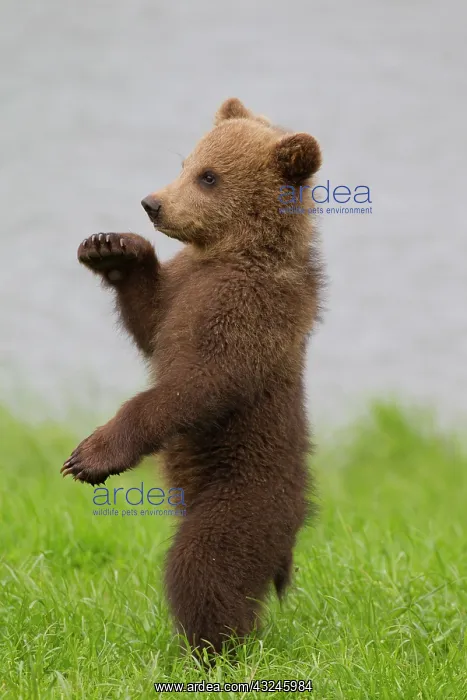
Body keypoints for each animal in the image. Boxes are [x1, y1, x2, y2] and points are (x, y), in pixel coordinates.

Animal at [62, 98, 323, 654]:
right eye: (186, 162)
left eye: (209, 176)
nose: (152, 203)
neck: (230, 254)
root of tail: (293, 530)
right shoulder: (184, 288)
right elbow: (151, 322)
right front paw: (111, 247)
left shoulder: (247, 314)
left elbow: (195, 386)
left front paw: (89, 457)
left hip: (244, 498)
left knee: (205, 566)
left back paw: (211, 650)